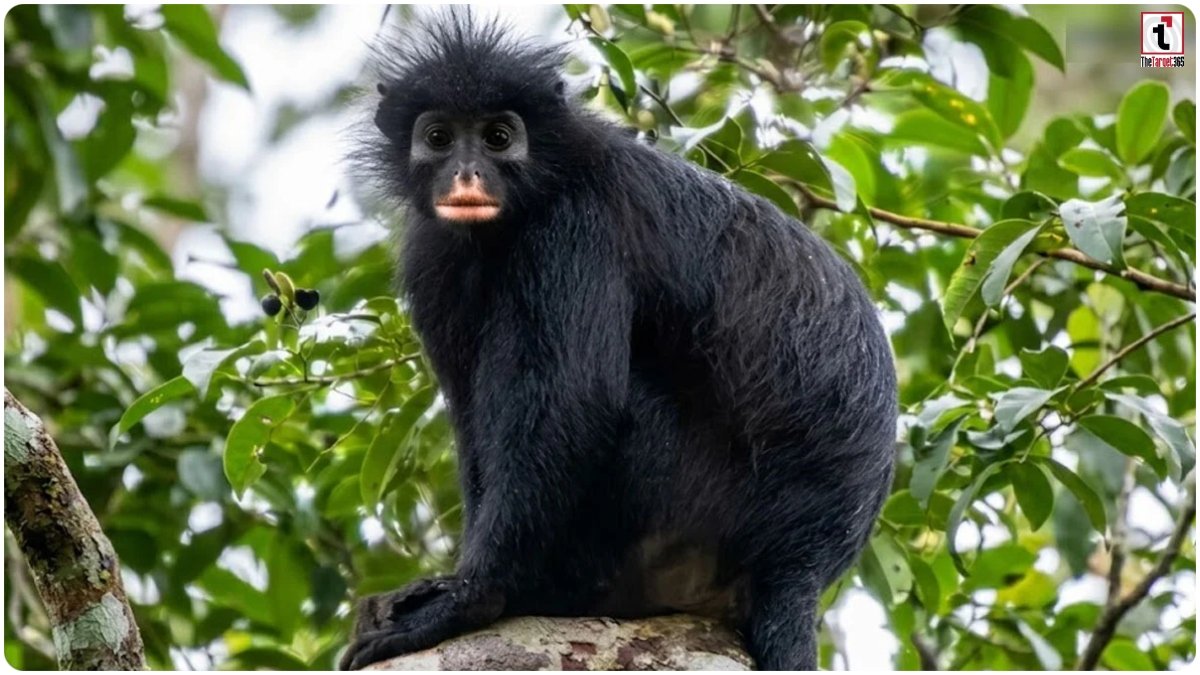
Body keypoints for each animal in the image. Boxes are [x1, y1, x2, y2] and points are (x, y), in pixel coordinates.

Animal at [340, 12, 897, 671]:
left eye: (499, 137)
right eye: (439, 137)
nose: (467, 173)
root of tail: (803, 565)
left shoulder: (575, 225)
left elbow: (571, 404)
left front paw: (474, 597)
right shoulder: (435, 257)